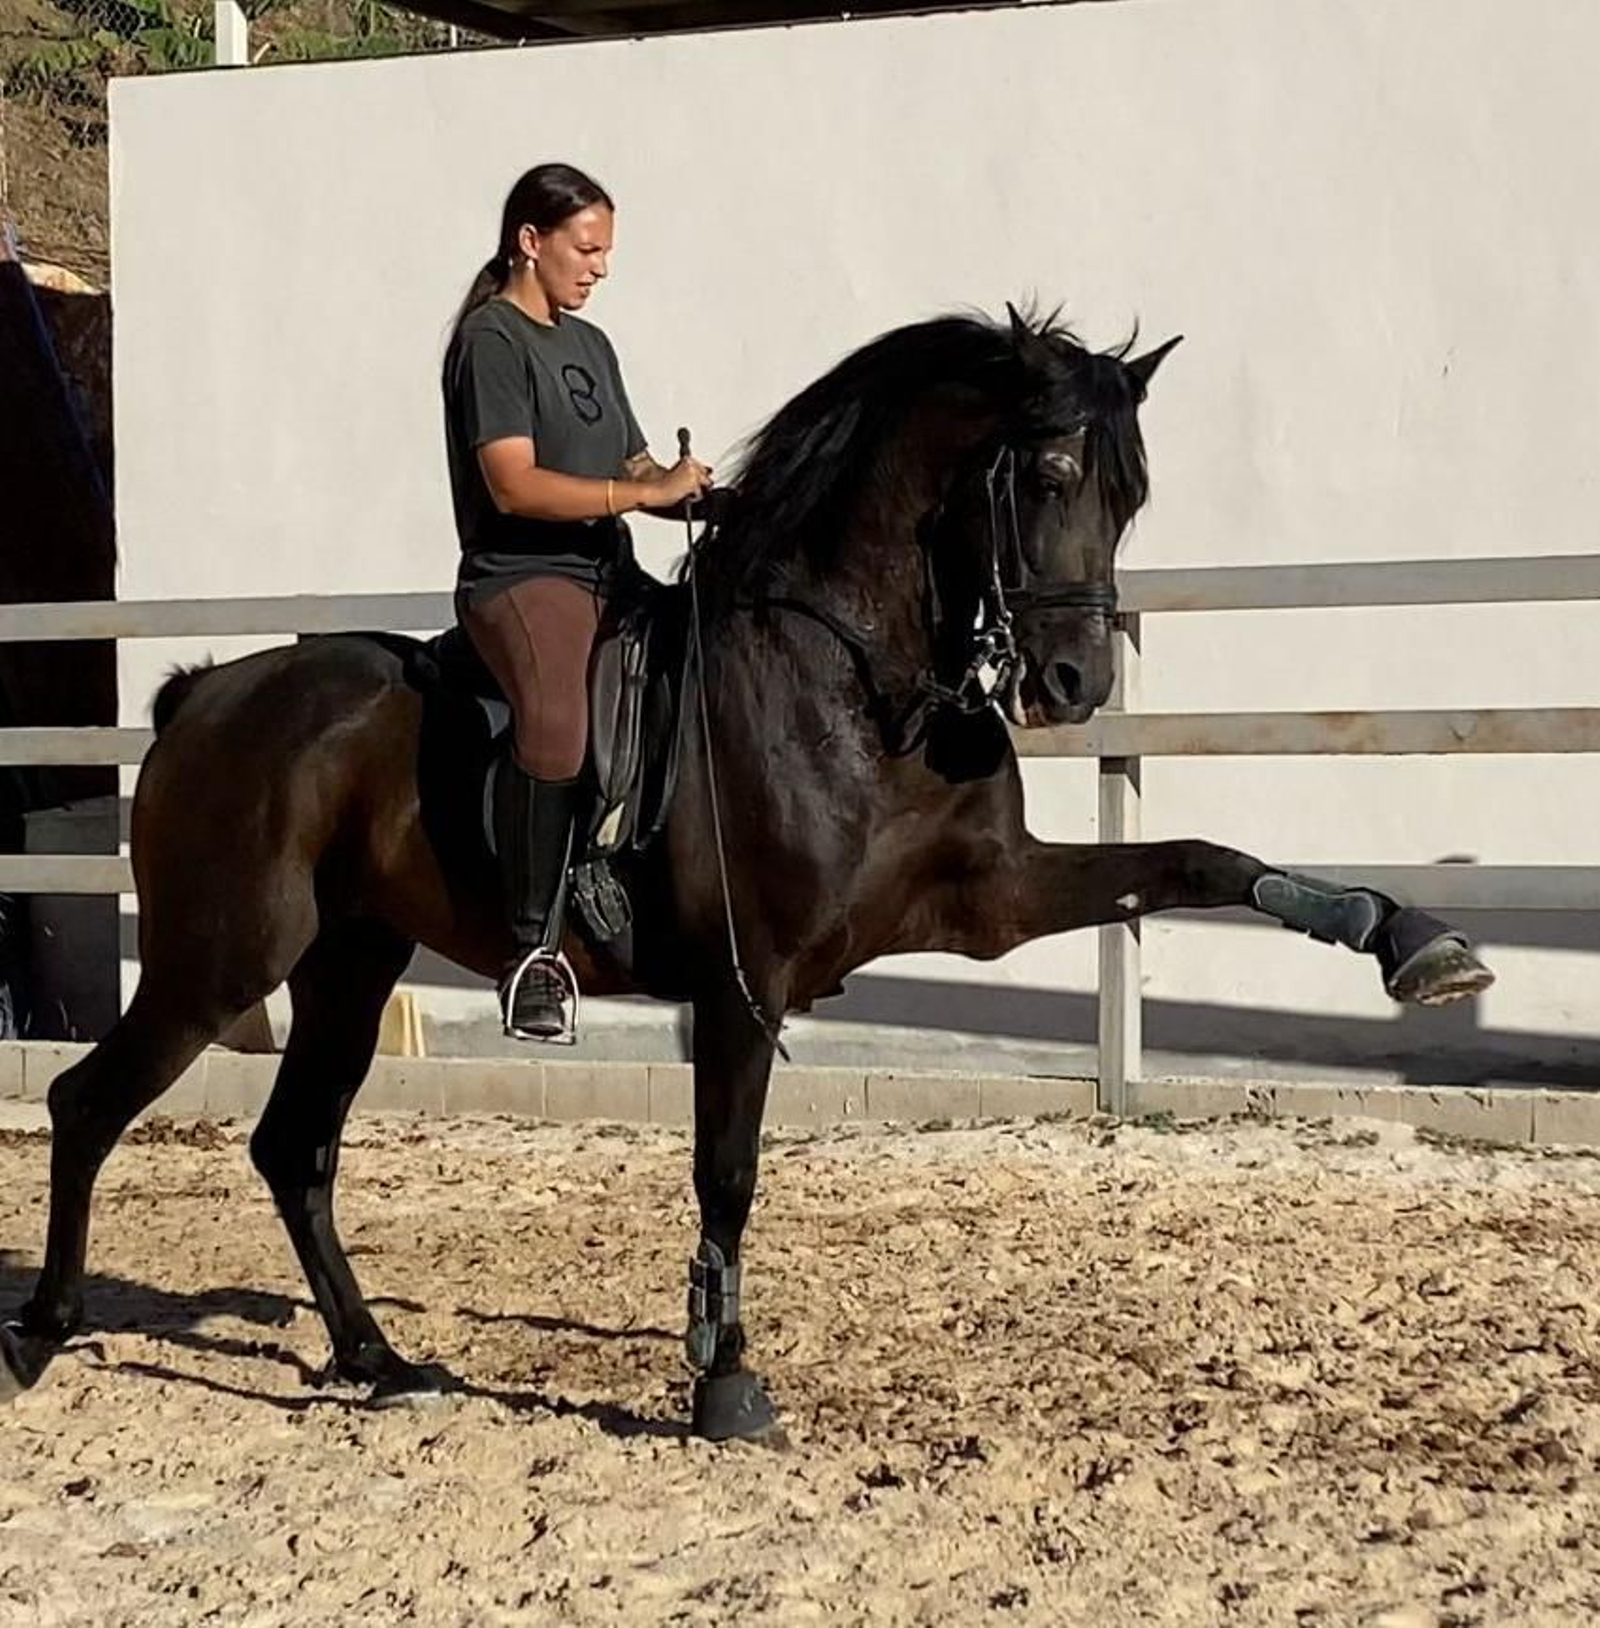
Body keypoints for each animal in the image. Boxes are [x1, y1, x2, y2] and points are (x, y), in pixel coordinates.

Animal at [0, 305, 1492, 1441]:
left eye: (1127, 493)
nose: (1074, 683)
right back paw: (43, 1331)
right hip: (220, 961)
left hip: (348, 966)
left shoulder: (993, 900)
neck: (853, 674)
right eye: (1048, 473)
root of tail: (203, 697)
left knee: (292, 1144)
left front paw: (1410, 940)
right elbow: (726, 1172)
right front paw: (722, 1380)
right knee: (88, 1105)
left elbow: (1197, 859)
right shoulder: (743, 982)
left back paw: (376, 1361)